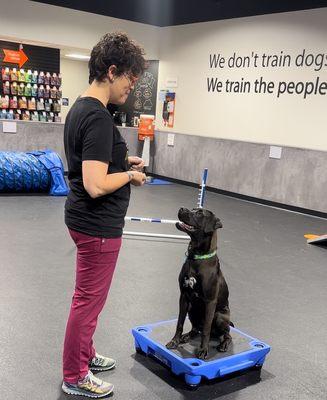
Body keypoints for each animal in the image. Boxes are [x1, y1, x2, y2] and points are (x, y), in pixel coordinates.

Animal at [167, 206, 233, 360]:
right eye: (192, 209)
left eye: (199, 213)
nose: (181, 208)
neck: (197, 257)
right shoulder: (184, 296)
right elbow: (179, 322)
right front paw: (174, 341)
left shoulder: (210, 302)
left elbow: (206, 330)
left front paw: (203, 350)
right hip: (192, 309)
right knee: (196, 329)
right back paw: (186, 336)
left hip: (220, 316)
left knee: (227, 334)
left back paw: (223, 344)